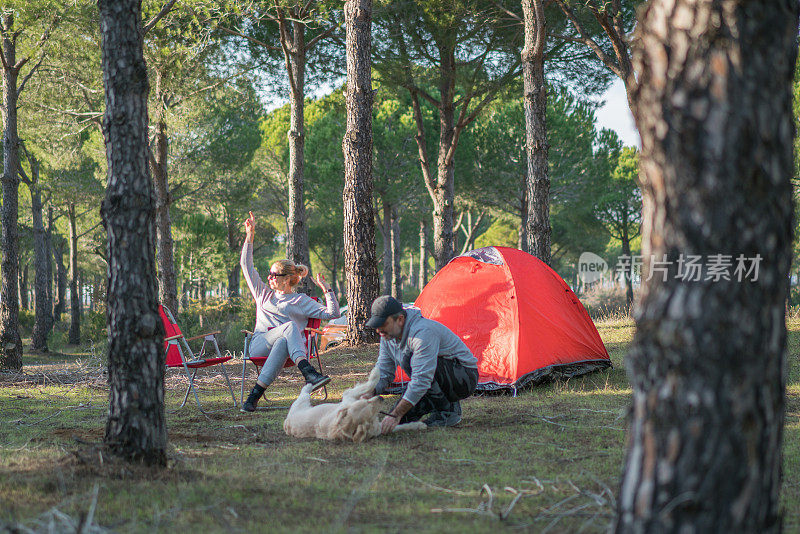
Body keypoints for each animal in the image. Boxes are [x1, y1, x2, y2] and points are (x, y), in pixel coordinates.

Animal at [284, 364, 428, 444]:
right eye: (368, 406)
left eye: (366, 401)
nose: (381, 397)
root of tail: (286, 423)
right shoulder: (349, 395)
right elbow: (370, 383)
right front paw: (376, 372)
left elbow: (399, 426)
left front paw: (417, 425)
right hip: (301, 402)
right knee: (304, 392)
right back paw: (309, 385)